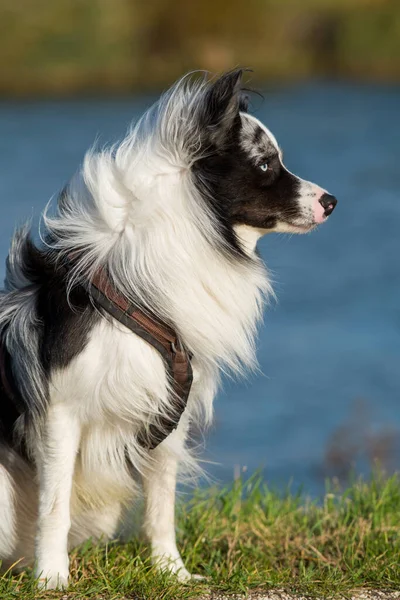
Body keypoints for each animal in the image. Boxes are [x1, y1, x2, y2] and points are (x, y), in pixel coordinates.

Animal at [0, 69, 336, 584]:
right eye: (265, 165)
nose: (332, 201)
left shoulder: (166, 410)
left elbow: (162, 504)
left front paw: (170, 572)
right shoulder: (60, 412)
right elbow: (53, 507)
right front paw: (52, 578)